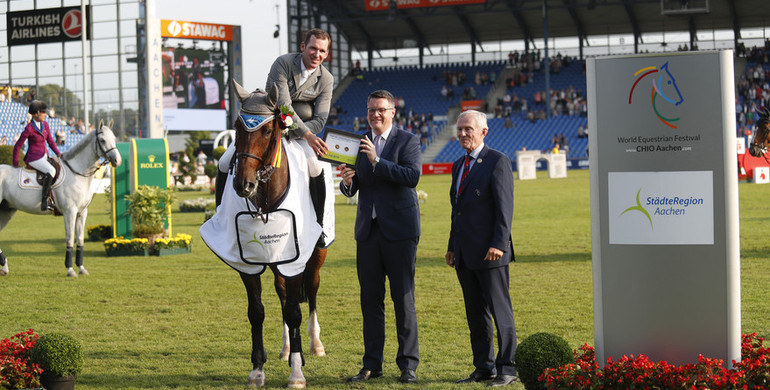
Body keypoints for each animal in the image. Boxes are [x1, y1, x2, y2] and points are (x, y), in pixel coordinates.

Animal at [0, 122, 121, 278]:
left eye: (114, 138)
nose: (117, 160)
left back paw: (4, 267)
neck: (77, 172)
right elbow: (70, 238)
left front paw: (81, 268)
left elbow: (80, 239)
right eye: (103, 140)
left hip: (6, 211)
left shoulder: (82, 212)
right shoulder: (70, 211)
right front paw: (70, 270)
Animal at [219, 82, 324, 386]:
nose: (243, 185)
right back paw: (287, 348)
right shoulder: (246, 263)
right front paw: (257, 369)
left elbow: (295, 311)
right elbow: (257, 312)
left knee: (312, 290)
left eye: (267, 131)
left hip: (316, 254)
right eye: (237, 128)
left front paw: (297, 372)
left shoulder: (297, 260)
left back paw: (314, 344)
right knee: (283, 294)